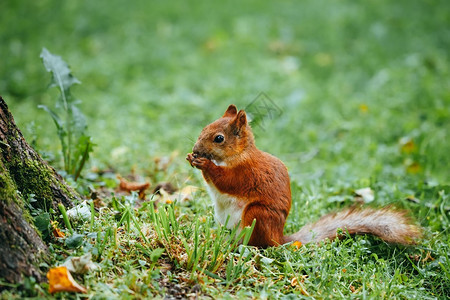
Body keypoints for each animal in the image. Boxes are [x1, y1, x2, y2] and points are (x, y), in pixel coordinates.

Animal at [185, 104, 422, 247]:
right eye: (204, 128)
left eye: (219, 138)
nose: (196, 149)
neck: (237, 155)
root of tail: (279, 238)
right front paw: (191, 158)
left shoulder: (246, 173)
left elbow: (226, 181)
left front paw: (205, 164)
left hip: (257, 215)